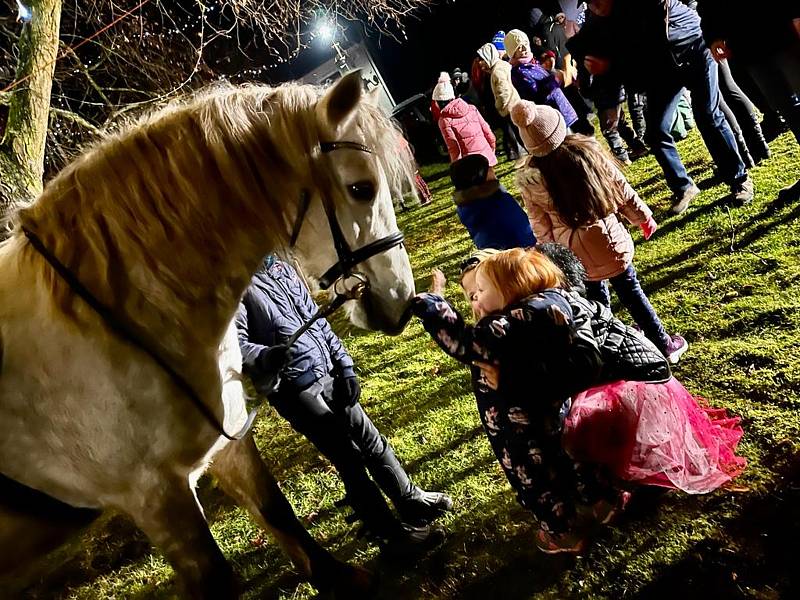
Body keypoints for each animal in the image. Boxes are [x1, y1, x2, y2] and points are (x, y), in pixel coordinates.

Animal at [0, 72, 416, 596]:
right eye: (361, 188)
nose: (401, 297)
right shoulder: (157, 498)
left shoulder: (226, 446)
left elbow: (277, 511)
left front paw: (338, 579)